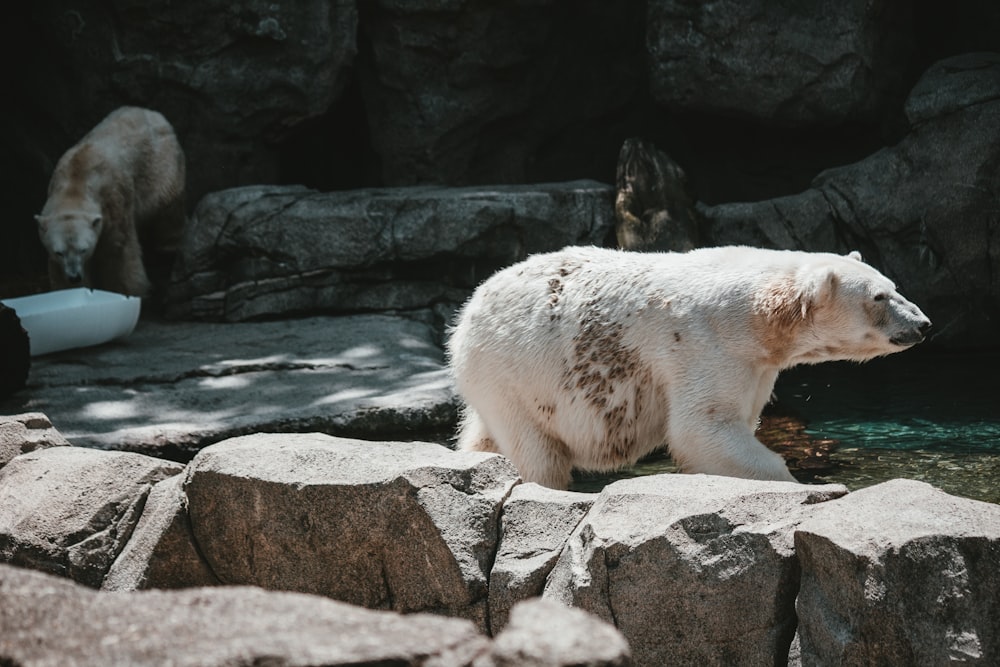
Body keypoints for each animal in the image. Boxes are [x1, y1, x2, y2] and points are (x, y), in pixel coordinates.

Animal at [35, 107, 188, 298]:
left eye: (83, 249)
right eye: (59, 252)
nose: (74, 277)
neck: (76, 180)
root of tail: (151, 113)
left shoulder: (114, 202)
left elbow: (117, 254)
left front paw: (125, 292)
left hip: (161, 166)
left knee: (166, 206)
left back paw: (169, 246)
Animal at [450, 245, 932, 490]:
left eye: (893, 286)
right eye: (878, 297)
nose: (923, 324)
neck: (760, 313)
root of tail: (469, 308)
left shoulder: (757, 364)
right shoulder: (708, 344)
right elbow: (703, 427)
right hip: (513, 370)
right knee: (539, 452)